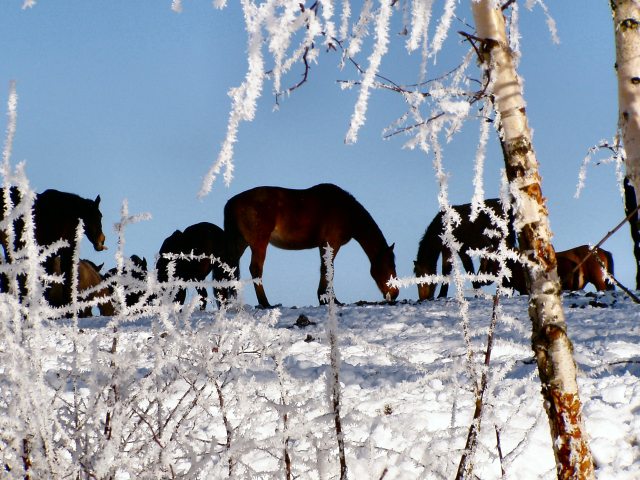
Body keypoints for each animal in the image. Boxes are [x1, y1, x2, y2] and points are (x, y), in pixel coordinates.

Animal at [222, 184, 398, 308]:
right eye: (389, 266)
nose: (395, 293)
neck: (346, 212)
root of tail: (232, 202)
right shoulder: (331, 244)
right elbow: (329, 270)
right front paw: (329, 300)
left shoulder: (323, 246)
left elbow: (325, 269)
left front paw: (326, 299)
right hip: (259, 243)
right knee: (256, 269)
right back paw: (266, 304)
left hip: (241, 244)